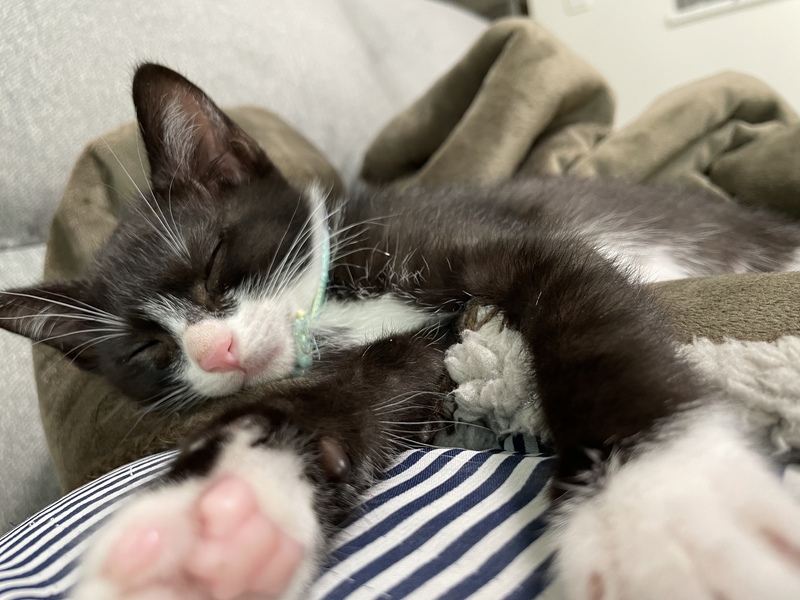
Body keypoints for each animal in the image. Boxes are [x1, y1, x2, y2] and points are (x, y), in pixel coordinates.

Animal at [3, 63, 800, 599]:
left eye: (214, 263)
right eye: (148, 349)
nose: (216, 350)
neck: (331, 302)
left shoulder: (506, 241)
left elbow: (589, 327)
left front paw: (665, 508)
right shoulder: (413, 353)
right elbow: (351, 395)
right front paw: (214, 520)